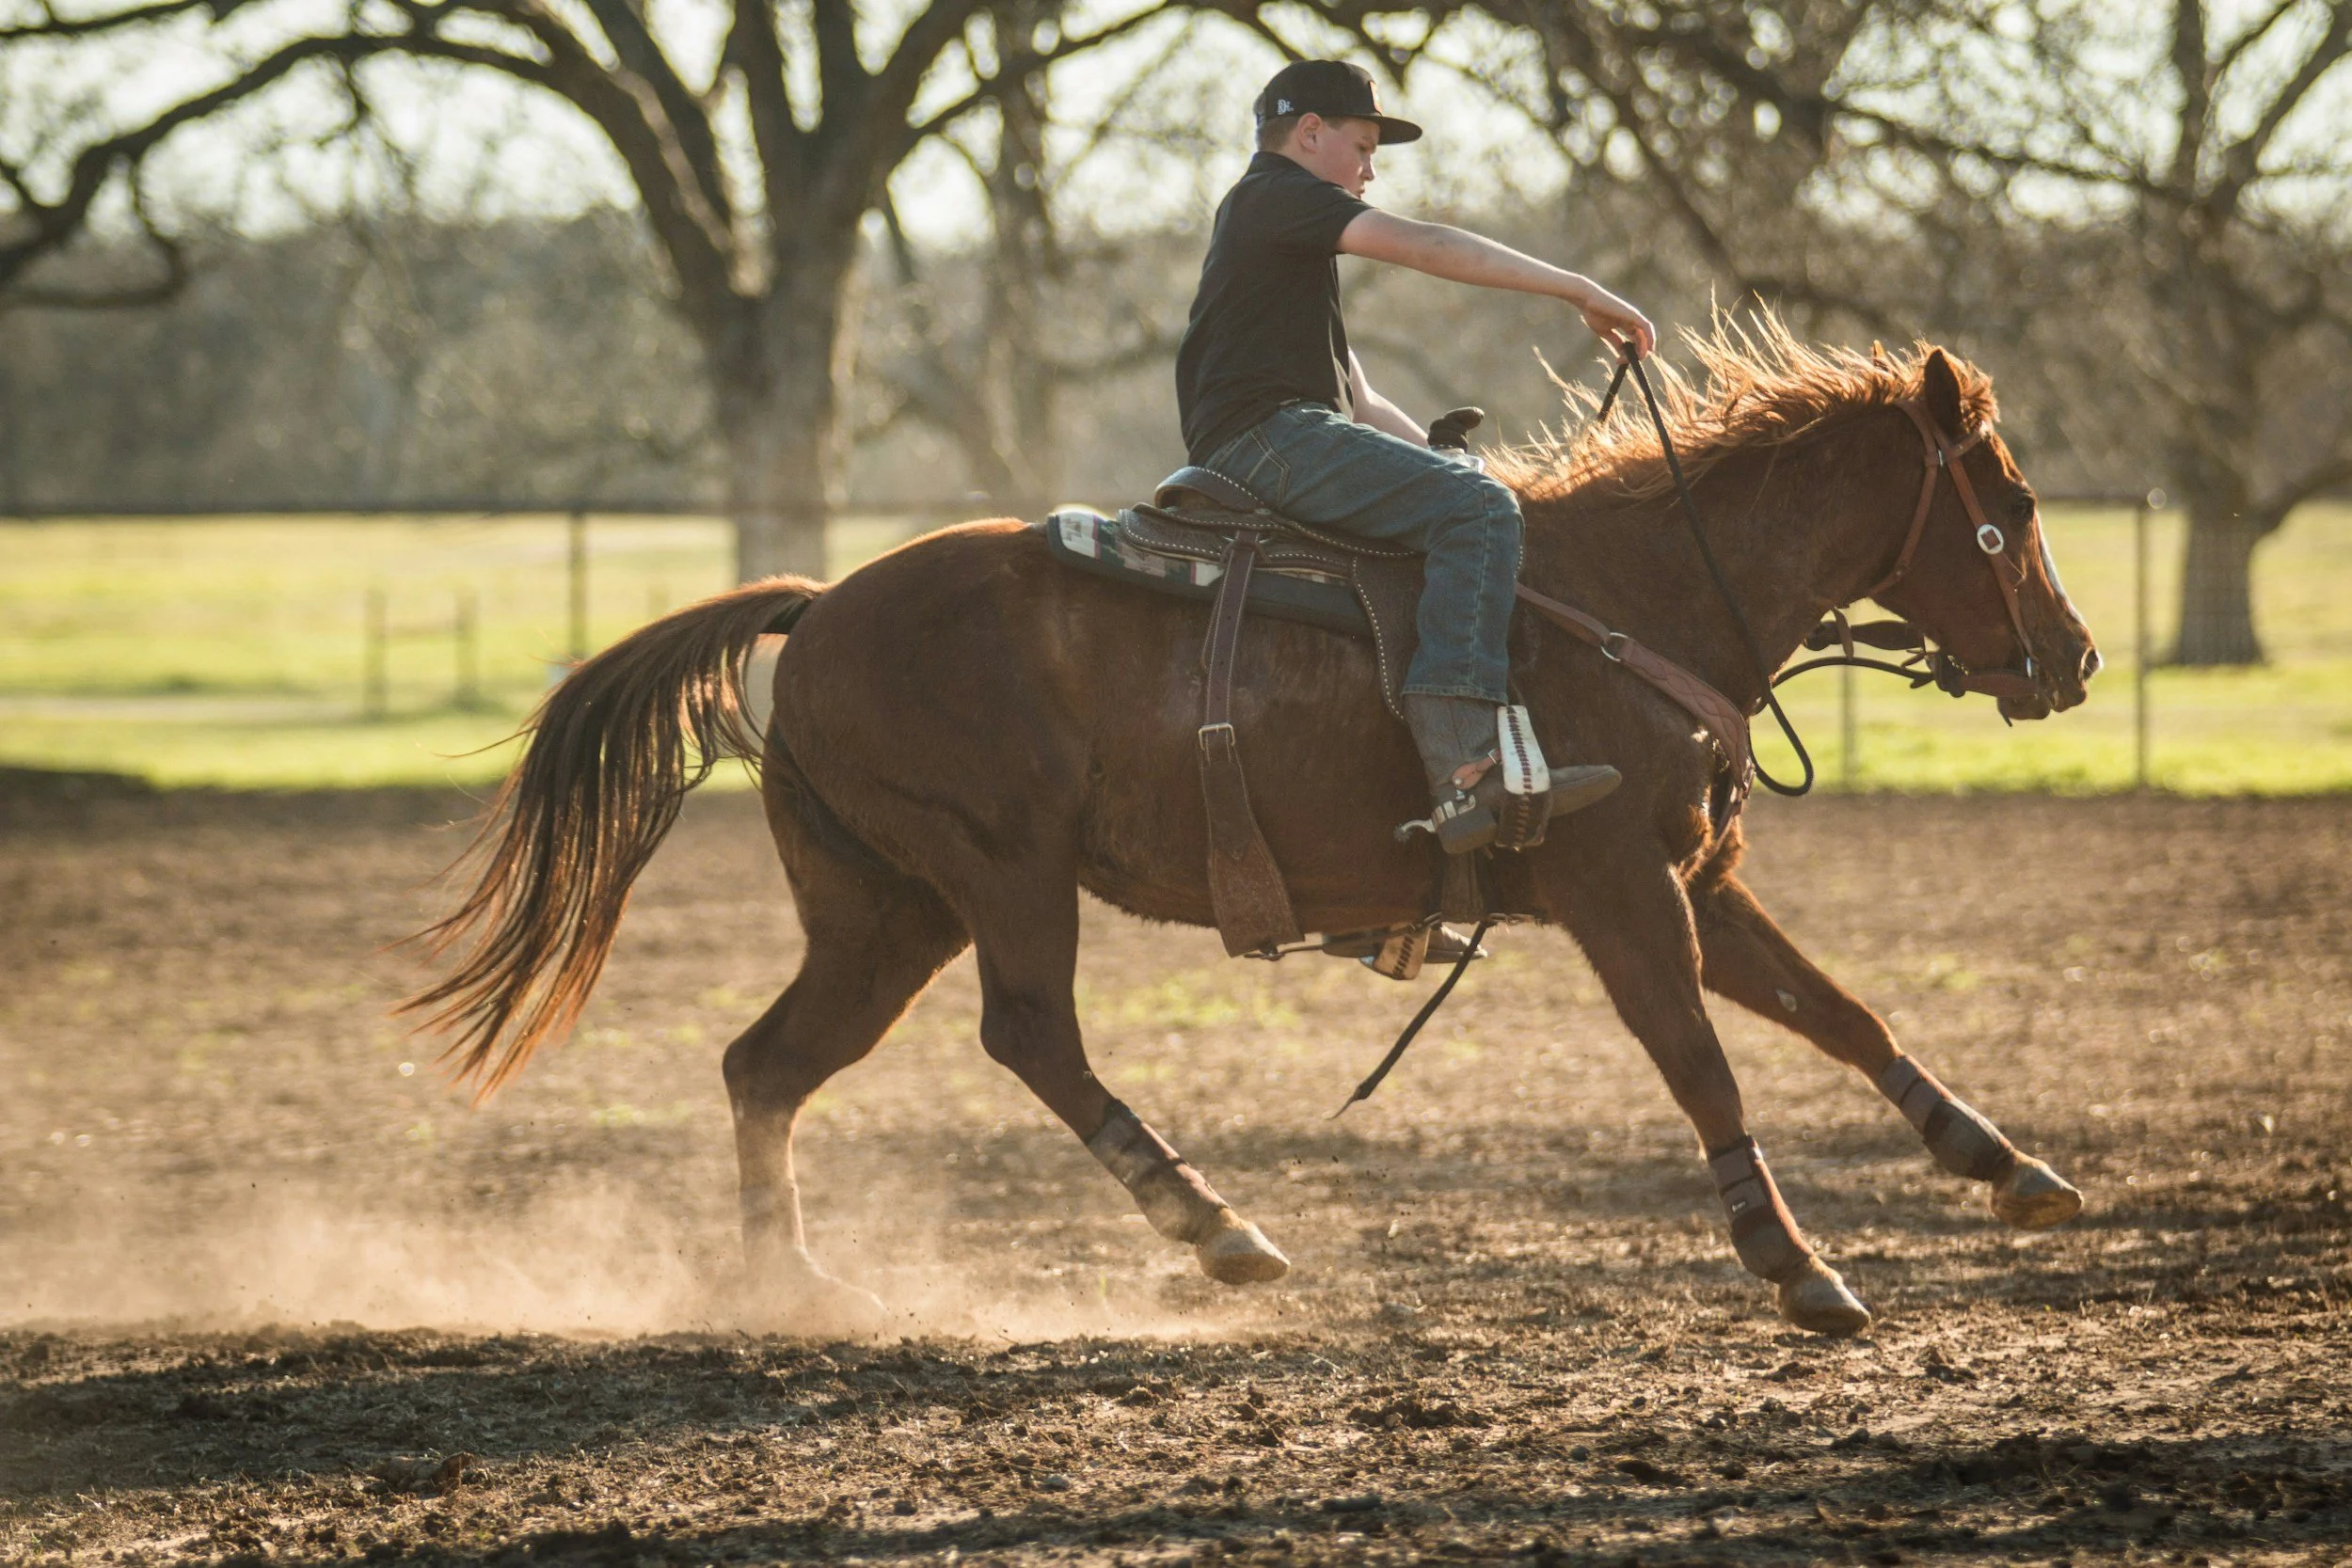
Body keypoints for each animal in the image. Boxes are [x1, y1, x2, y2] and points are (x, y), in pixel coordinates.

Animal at [404, 322, 2100, 1337]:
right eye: (2009, 509)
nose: (2075, 658)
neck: (1634, 594)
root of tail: (820, 608)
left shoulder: (1699, 876)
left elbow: (1843, 1010)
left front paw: (2001, 1157)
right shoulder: (1620, 888)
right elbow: (1701, 1058)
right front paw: (1797, 1262)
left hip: (883, 908)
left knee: (767, 1063)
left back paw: (798, 1279)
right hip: (998, 873)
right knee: (1028, 1036)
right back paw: (1216, 1226)